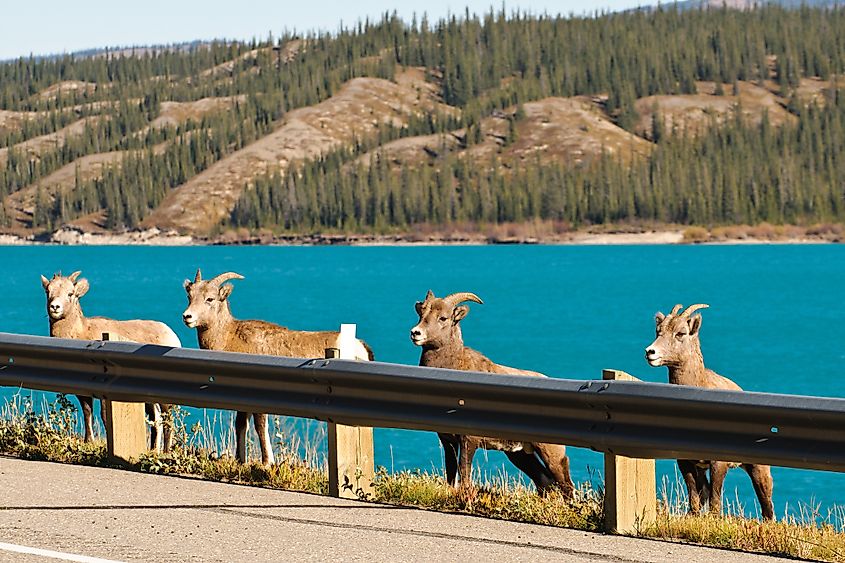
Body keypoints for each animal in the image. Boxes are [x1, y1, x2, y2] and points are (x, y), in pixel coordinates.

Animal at [40, 270, 182, 452]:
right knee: (155, 419)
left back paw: (165, 451)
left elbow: (104, 416)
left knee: (167, 417)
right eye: (48, 291)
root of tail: (172, 336)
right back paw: (152, 450)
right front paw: (89, 441)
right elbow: (87, 412)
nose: (55, 307)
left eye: (70, 293)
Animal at [183, 268, 374, 468]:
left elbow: (260, 427)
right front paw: (240, 460)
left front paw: (267, 462)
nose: (187, 316)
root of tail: (359, 346)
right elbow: (240, 425)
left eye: (210, 299)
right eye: (189, 295)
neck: (229, 337)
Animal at [408, 290, 572, 498]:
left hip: (551, 452)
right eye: (421, 313)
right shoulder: (448, 441)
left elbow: (464, 472)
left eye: (443, 318)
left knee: (565, 483)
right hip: (520, 454)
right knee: (544, 481)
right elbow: (451, 474)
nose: (416, 333)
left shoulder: (468, 441)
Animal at [644, 306, 776, 524]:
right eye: (658, 331)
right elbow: (695, 497)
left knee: (767, 506)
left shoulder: (718, 463)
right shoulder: (686, 462)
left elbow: (715, 499)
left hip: (758, 469)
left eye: (681, 333)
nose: (650, 352)